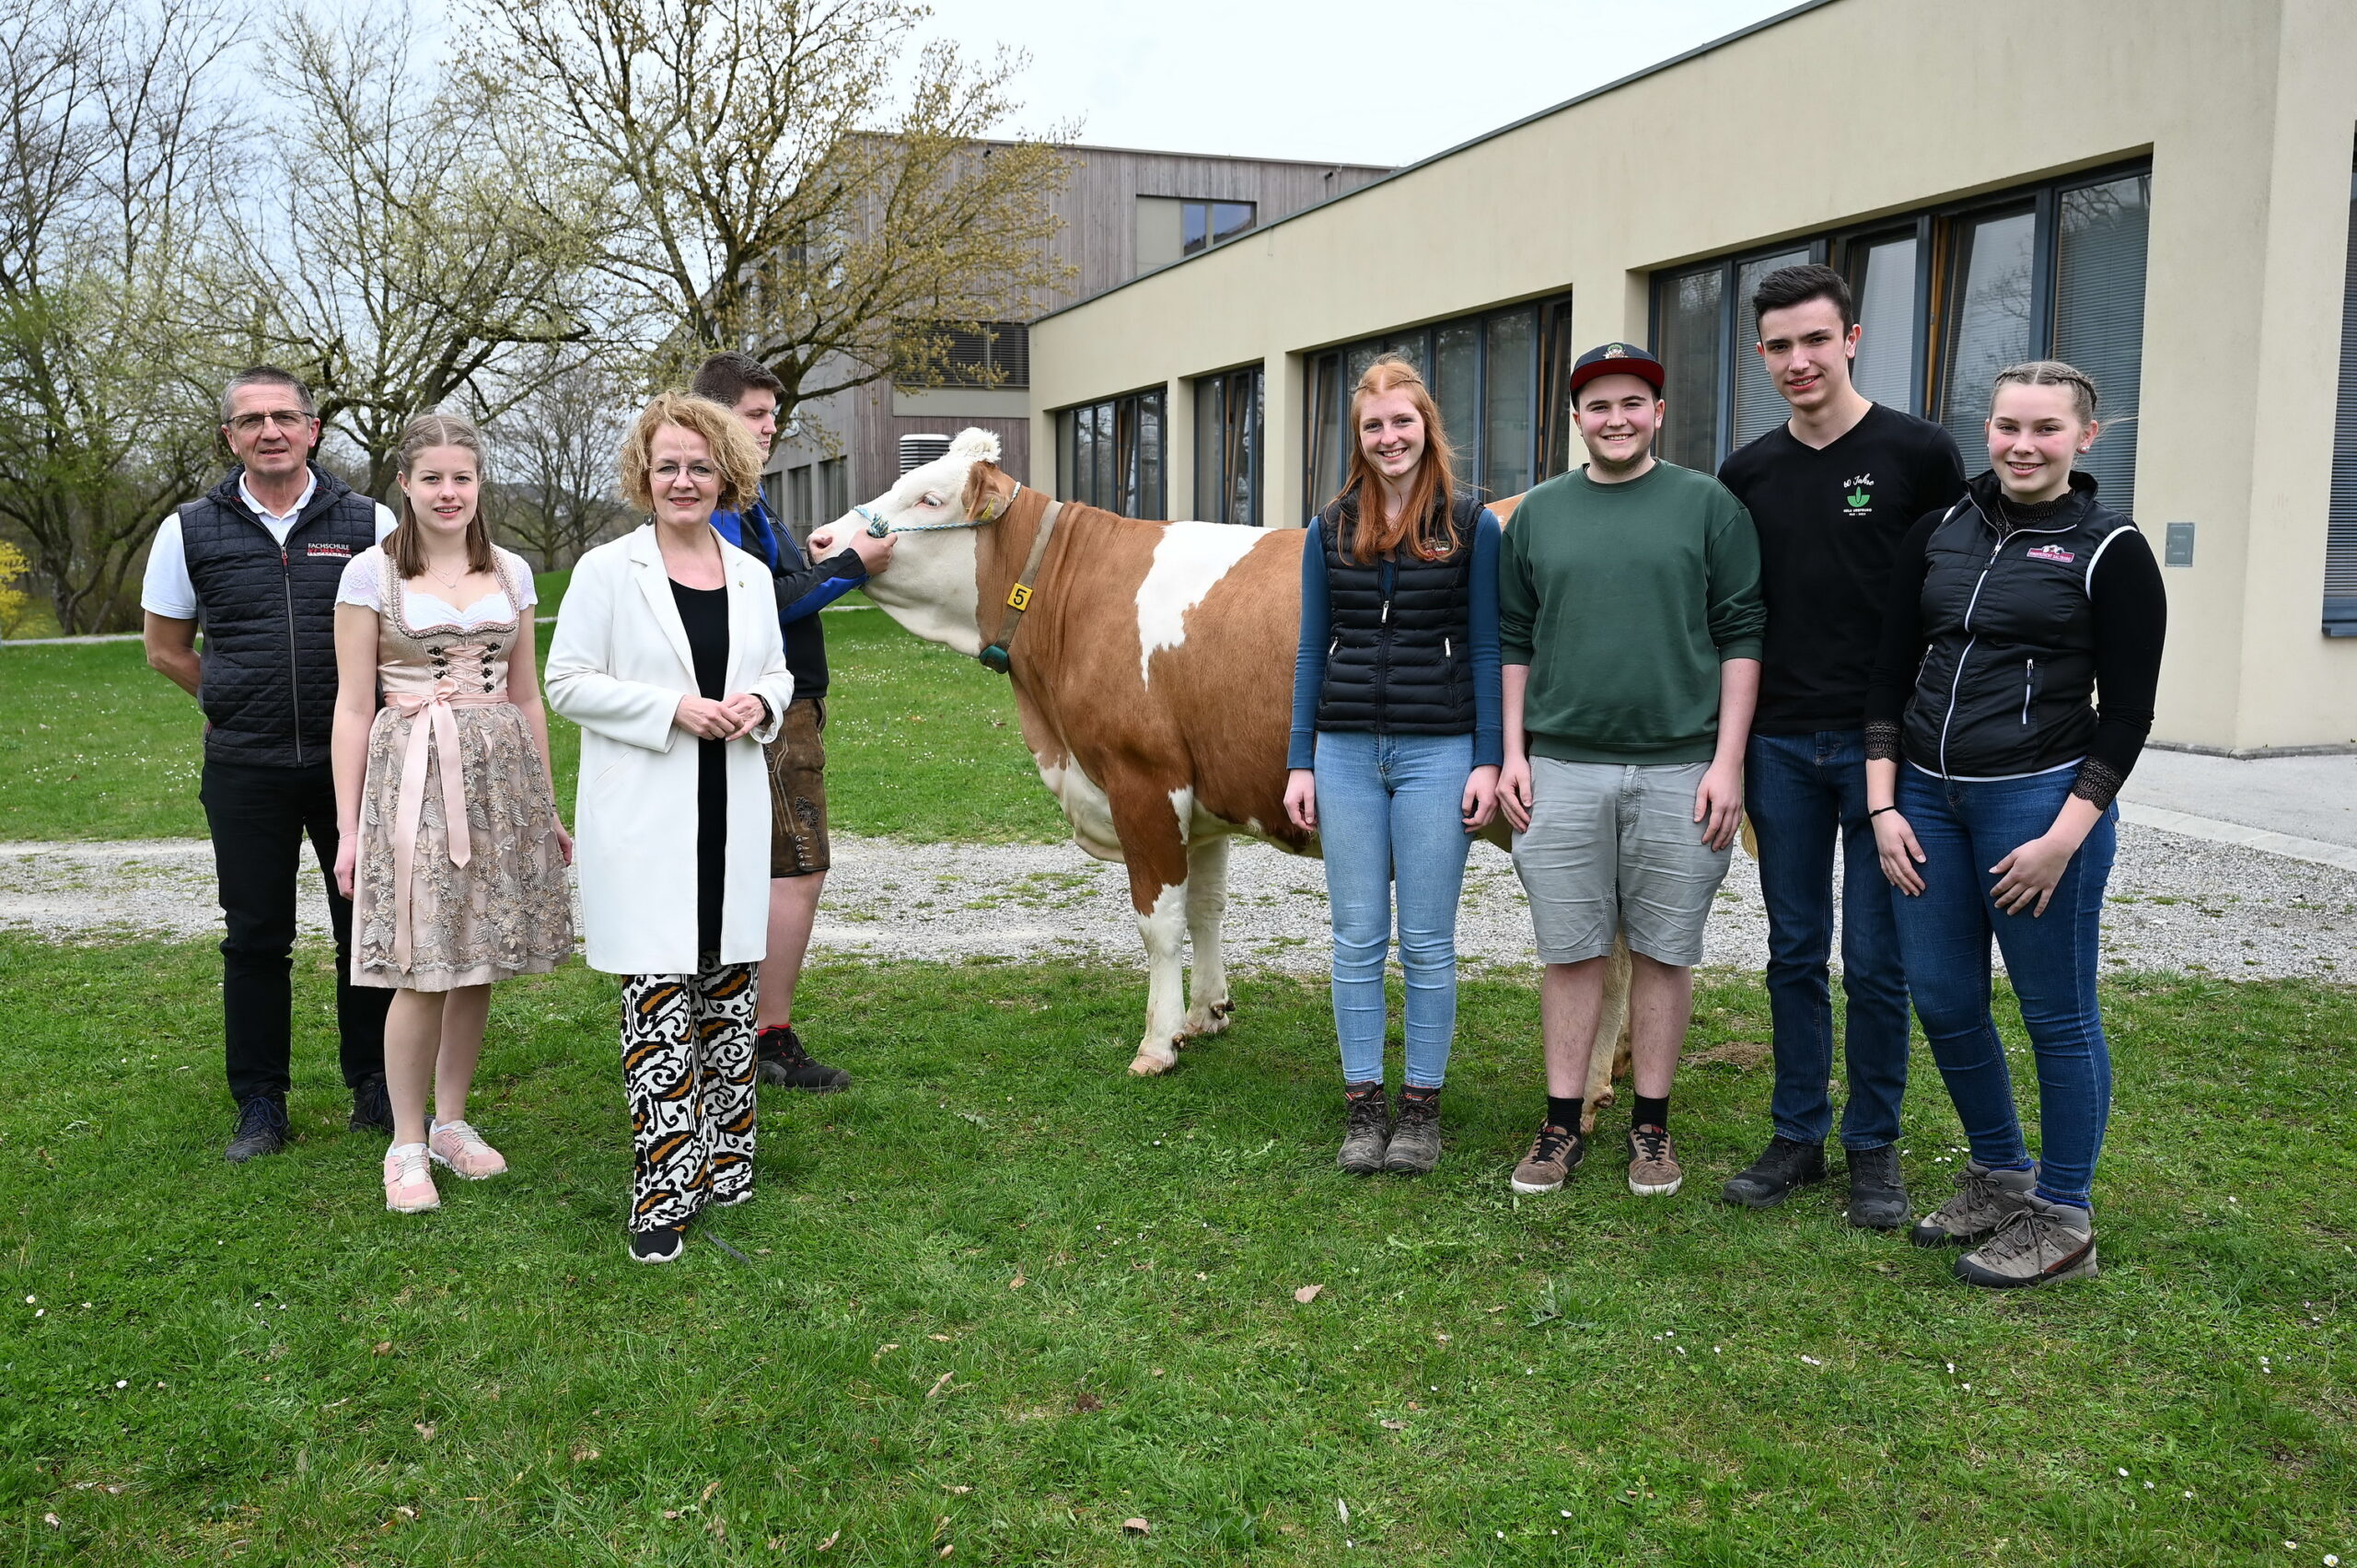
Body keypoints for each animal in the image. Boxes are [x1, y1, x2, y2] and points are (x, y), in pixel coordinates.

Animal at [819, 429, 1631, 1108]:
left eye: (928, 497)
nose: (824, 538)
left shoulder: (1142, 780)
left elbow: (1158, 921)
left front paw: (1156, 1042)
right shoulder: (1203, 802)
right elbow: (1206, 908)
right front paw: (1206, 1012)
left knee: (1611, 947)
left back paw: (1592, 1084)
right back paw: (1617, 1064)